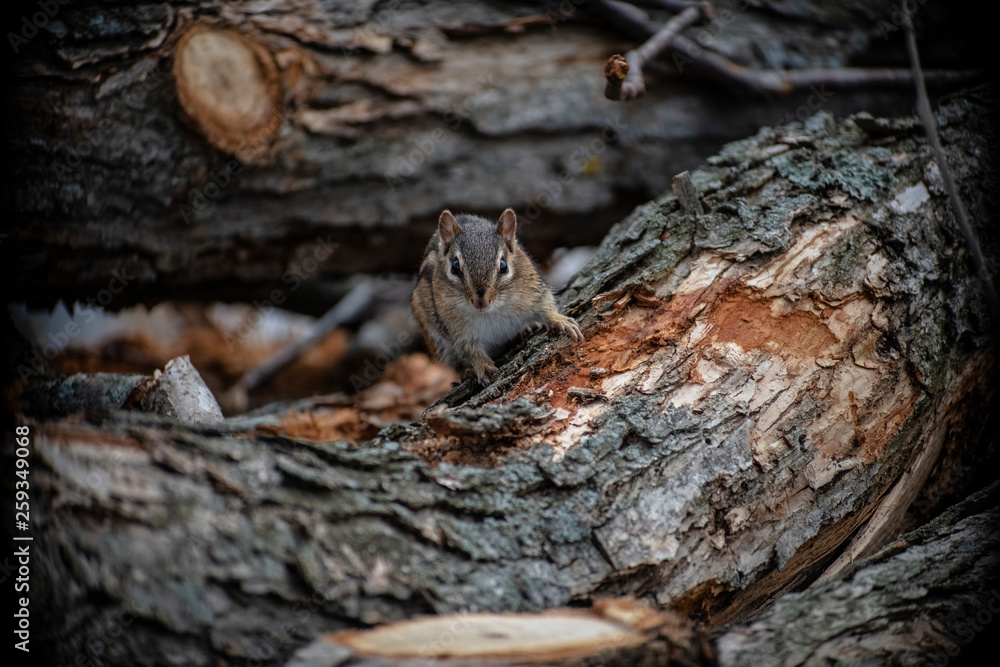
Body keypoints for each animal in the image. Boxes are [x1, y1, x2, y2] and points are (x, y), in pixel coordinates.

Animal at [412, 208, 584, 384]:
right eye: (455, 266)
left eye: (503, 265)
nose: (480, 302)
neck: (492, 311)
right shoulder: (454, 328)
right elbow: (468, 349)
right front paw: (482, 366)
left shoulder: (534, 291)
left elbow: (545, 305)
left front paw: (559, 321)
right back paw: (464, 373)